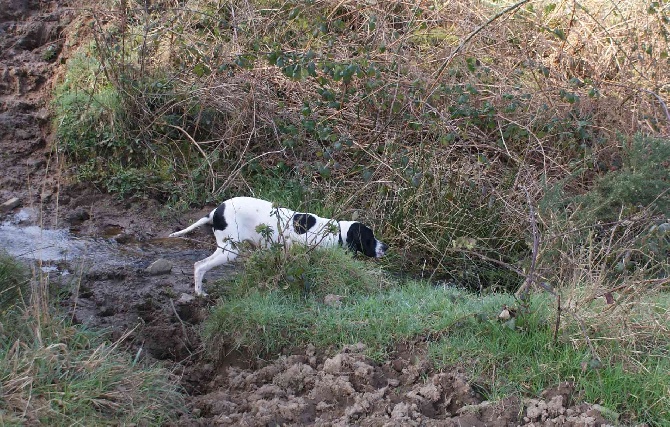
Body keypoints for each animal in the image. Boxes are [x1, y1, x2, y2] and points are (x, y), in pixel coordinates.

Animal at [169, 198, 388, 296]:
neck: (338, 233)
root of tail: (216, 210)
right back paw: (200, 293)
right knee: (200, 266)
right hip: (229, 250)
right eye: (370, 238)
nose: (385, 247)